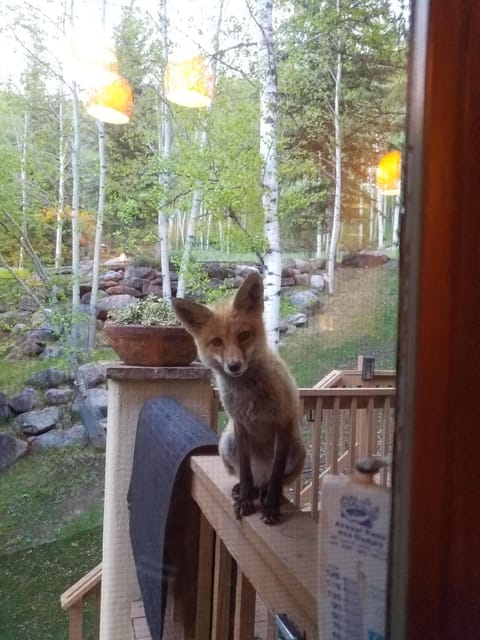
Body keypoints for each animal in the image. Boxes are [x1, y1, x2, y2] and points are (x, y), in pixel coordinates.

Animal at [172, 271, 306, 525]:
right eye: (217, 341)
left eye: (244, 335)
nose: (234, 366)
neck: (249, 394)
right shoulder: (240, 425)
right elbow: (244, 471)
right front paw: (244, 500)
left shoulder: (283, 421)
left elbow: (276, 476)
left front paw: (271, 506)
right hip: (227, 443)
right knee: (251, 479)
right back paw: (247, 491)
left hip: (297, 448)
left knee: (271, 481)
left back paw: (265, 493)